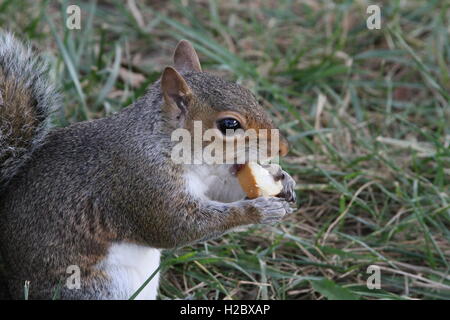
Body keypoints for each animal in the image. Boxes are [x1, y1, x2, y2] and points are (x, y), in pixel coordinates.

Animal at [0, 32, 298, 300]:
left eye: (249, 94)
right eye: (229, 124)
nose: (283, 148)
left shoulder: (208, 180)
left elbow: (222, 190)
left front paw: (283, 179)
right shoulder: (143, 184)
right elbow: (177, 228)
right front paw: (259, 210)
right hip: (97, 287)